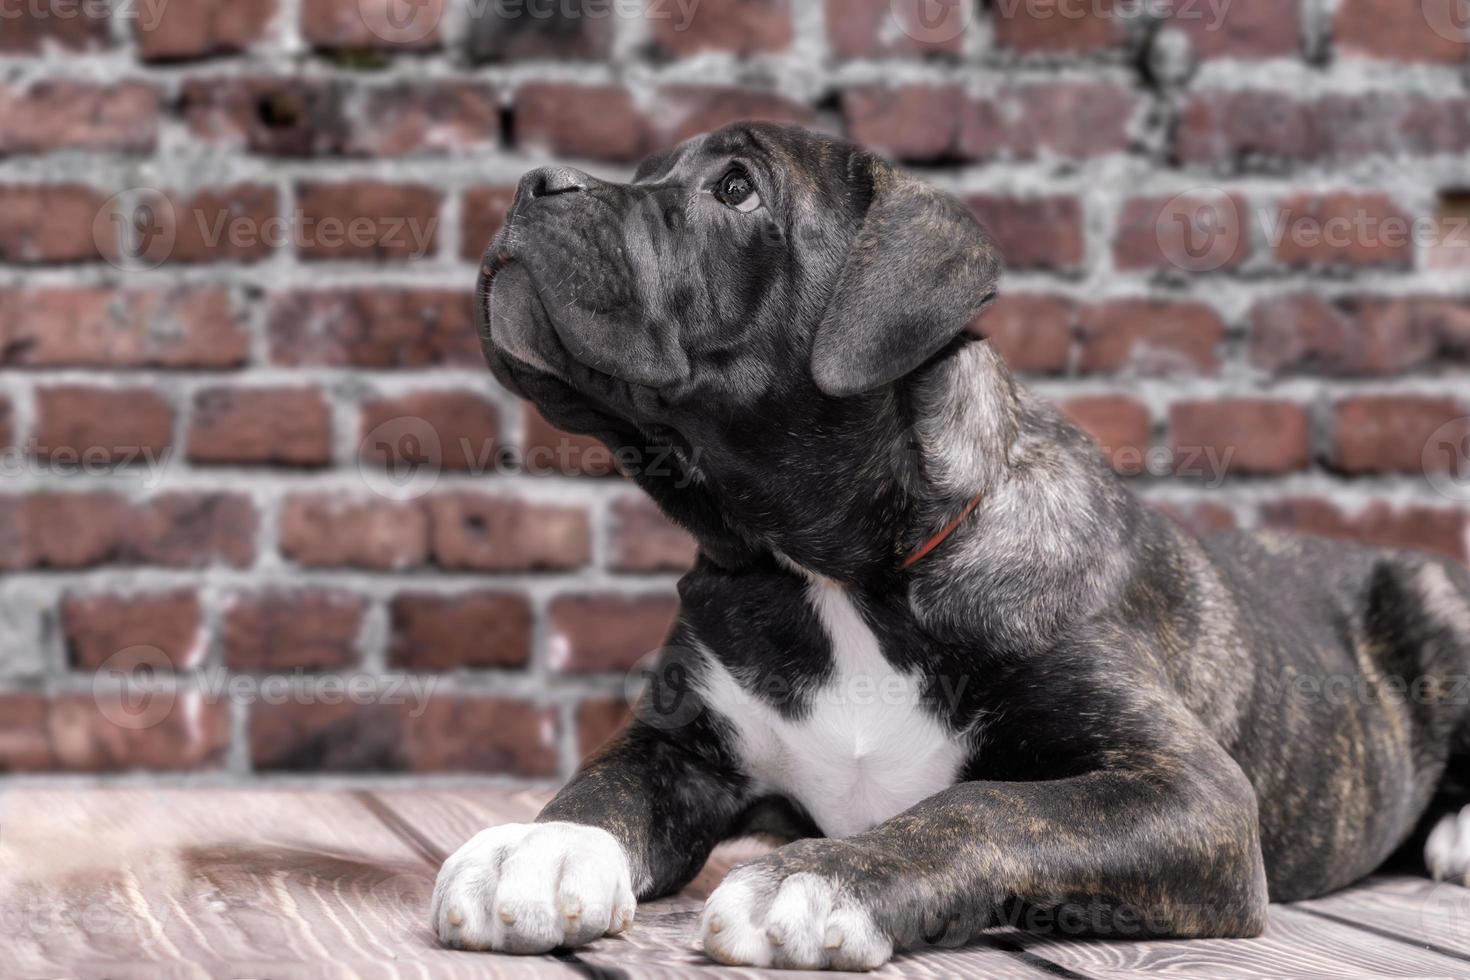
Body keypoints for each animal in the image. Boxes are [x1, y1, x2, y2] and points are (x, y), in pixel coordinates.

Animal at [429, 122, 1470, 975]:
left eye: (736, 189)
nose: (535, 183)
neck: (832, 575)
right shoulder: (681, 738)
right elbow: (606, 780)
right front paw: (538, 847)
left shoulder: (1187, 787)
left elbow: (986, 807)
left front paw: (824, 877)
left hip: (1433, 603)